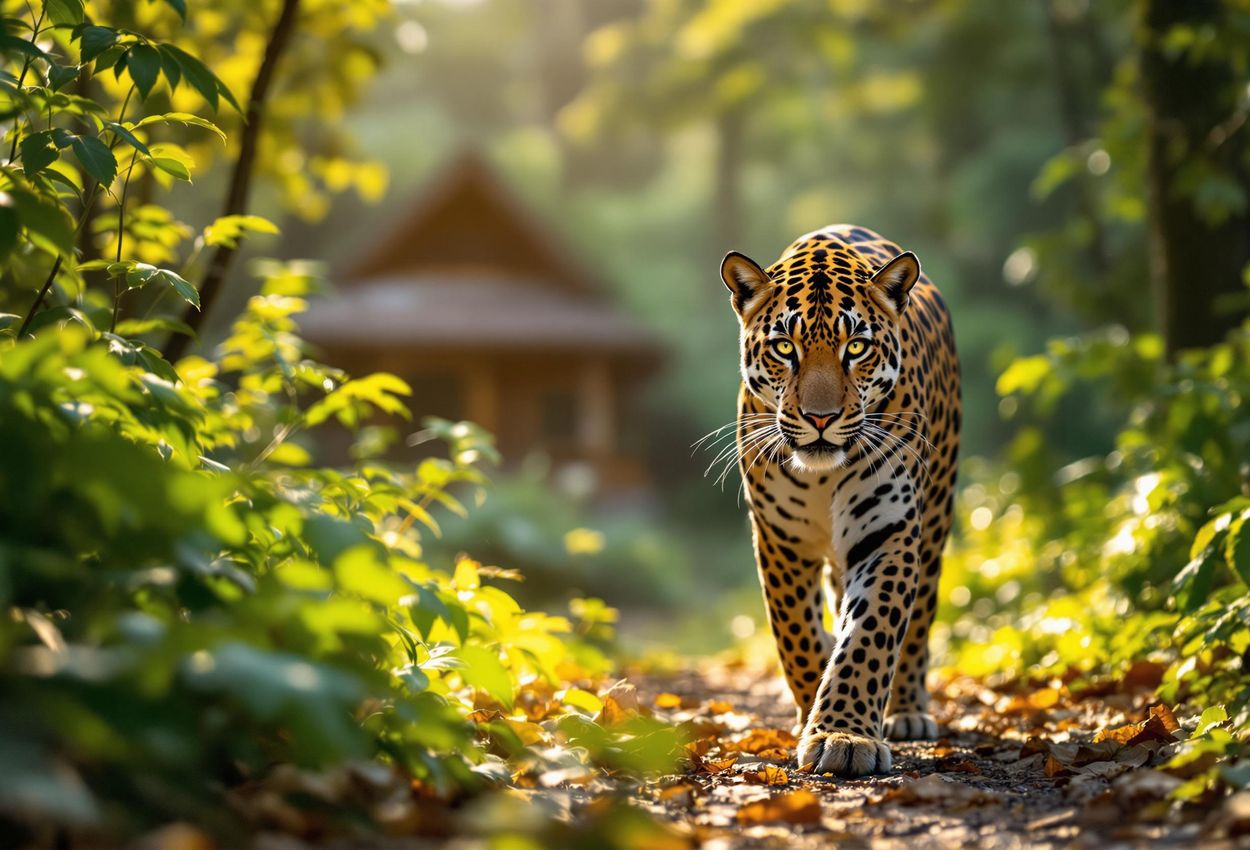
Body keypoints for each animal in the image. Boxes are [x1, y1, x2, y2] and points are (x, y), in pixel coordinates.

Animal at [719, 223, 960, 778]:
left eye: (857, 347)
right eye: (784, 347)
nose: (821, 418)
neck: (821, 478)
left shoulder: (887, 532)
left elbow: (871, 635)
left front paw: (845, 734)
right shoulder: (780, 539)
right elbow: (798, 639)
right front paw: (814, 715)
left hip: (936, 518)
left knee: (918, 624)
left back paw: (907, 710)